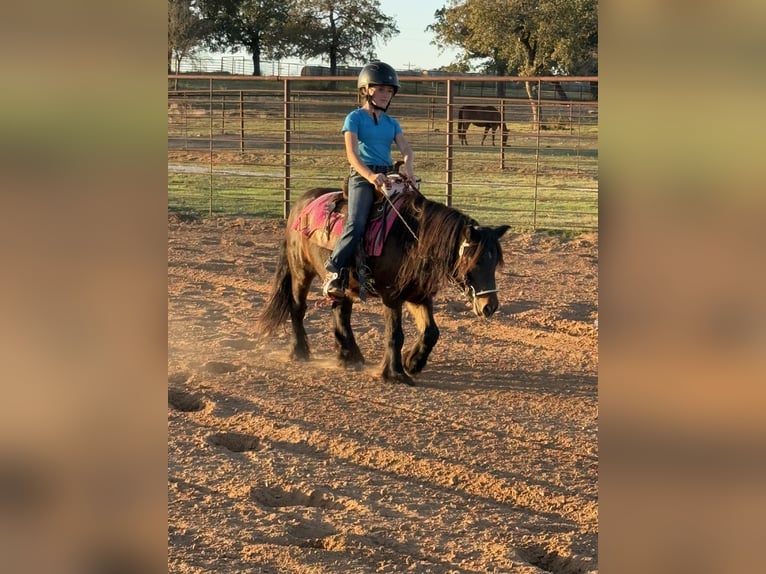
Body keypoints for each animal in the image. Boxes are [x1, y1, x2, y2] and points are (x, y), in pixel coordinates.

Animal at [257, 177, 510, 386]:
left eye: (494, 262)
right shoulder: (392, 296)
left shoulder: (418, 294)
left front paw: (412, 363)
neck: (411, 239)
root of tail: (300, 205)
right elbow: (395, 334)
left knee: (340, 313)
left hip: (344, 285)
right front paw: (395, 373)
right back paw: (300, 352)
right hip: (301, 272)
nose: (490, 306)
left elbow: (431, 332)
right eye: (475, 262)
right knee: (298, 308)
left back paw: (349, 356)